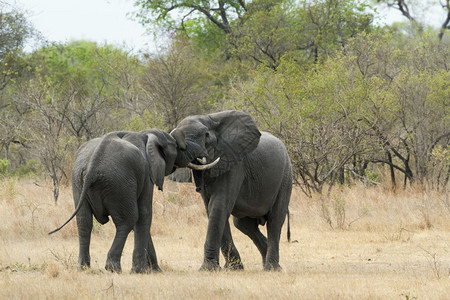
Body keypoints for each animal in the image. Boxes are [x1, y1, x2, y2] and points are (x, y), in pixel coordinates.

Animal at [48, 129, 177, 274]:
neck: (144, 134)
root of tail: (92, 165)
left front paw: (153, 270)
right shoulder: (147, 173)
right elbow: (144, 214)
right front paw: (142, 271)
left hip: (78, 180)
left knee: (84, 221)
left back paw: (83, 267)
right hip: (119, 182)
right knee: (127, 221)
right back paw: (113, 268)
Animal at [171, 110, 294, 272]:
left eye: (206, 135)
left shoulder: (235, 165)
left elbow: (219, 206)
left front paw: (209, 269)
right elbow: (212, 209)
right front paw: (233, 268)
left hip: (285, 178)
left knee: (275, 220)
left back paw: (272, 268)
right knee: (243, 224)